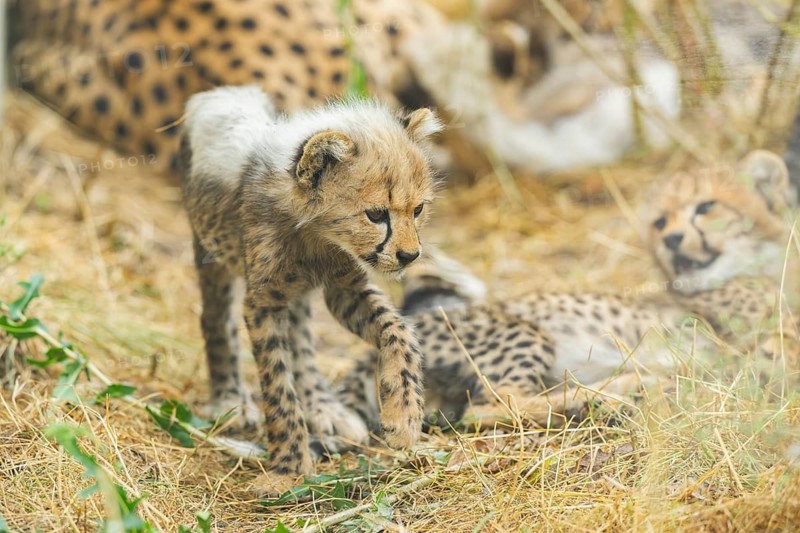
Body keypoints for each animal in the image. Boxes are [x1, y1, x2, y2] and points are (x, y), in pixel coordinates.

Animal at [179, 85, 442, 487]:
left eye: (418, 210)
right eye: (376, 214)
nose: (410, 255)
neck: (316, 235)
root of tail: (222, 93)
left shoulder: (344, 289)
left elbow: (399, 330)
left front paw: (404, 416)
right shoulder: (263, 304)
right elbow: (277, 383)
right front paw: (288, 467)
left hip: (297, 295)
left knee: (301, 339)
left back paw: (324, 407)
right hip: (210, 250)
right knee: (215, 320)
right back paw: (230, 399)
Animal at [339, 149, 798, 430]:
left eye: (706, 207)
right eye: (660, 222)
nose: (671, 240)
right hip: (523, 332)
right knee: (491, 405)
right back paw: (605, 398)